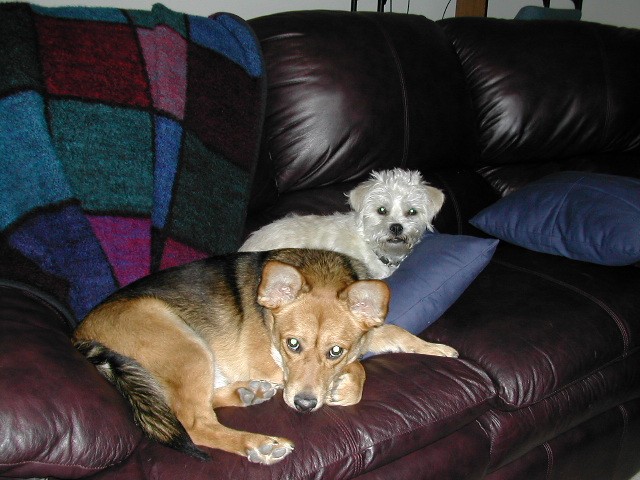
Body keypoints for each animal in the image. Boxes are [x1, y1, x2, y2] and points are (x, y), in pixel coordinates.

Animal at [74, 249, 456, 464]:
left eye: (335, 350)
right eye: (292, 344)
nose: (304, 406)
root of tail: (80, 336)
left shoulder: (367, 332)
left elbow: (396, 334)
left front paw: (439, 349)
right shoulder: (274, 368)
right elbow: (360, 367)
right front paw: (344, 388)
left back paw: (248, 393)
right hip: (188, 345)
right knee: (196, 423)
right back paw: (260, 443)